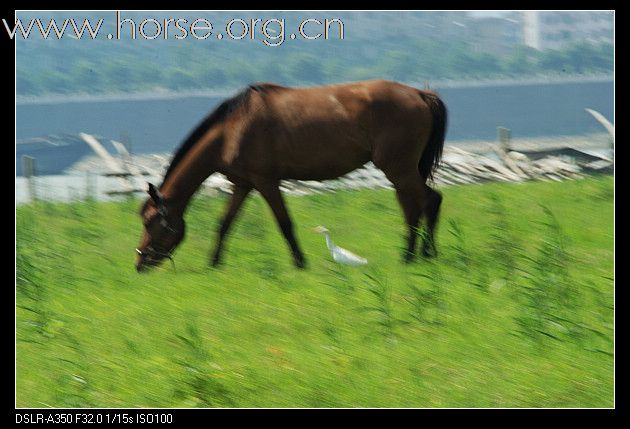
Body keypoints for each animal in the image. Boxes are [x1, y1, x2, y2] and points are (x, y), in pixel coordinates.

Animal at [135, 80, 446, 270]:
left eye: (150, 222)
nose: (140, 263)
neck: (232, 130)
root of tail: (420, 94)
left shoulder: (266, 182)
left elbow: (285, 224)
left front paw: (300, 263)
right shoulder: (243, 185)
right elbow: (224, 224)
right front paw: (213, 263)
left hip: (398, 168)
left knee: (430, 201)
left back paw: (424, 254)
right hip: (402, 171)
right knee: (413, 209)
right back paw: (410, 255)